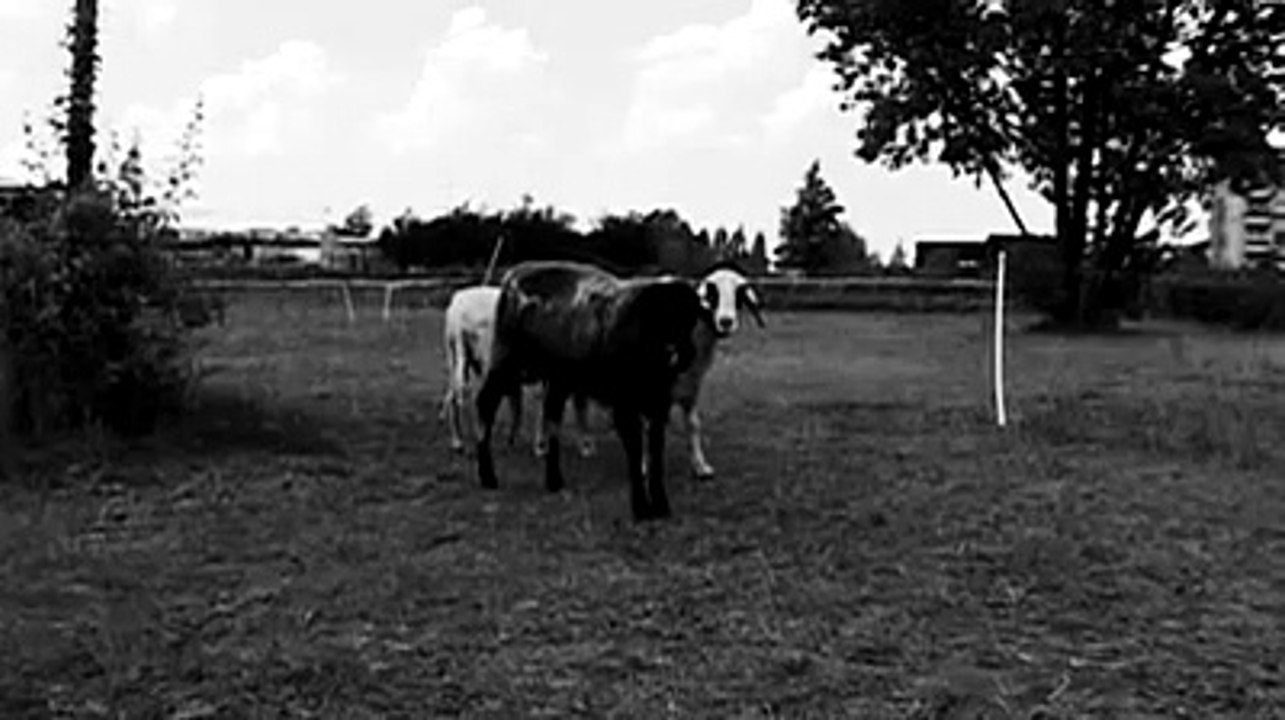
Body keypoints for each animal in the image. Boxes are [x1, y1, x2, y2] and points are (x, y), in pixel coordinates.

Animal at [473, 260, 707, 521]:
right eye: (665, 314)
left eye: (692, 317)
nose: (686, 354)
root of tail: (515, 274)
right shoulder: (624, 406)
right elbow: (636, 452)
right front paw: (641, 508)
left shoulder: (658, 405)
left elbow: (656, 454)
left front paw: (661, 506)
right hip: (505, 359)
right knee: (486, 403)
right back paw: (488, 476)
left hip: (556, 378)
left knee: (552, 417)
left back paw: (554, 481)